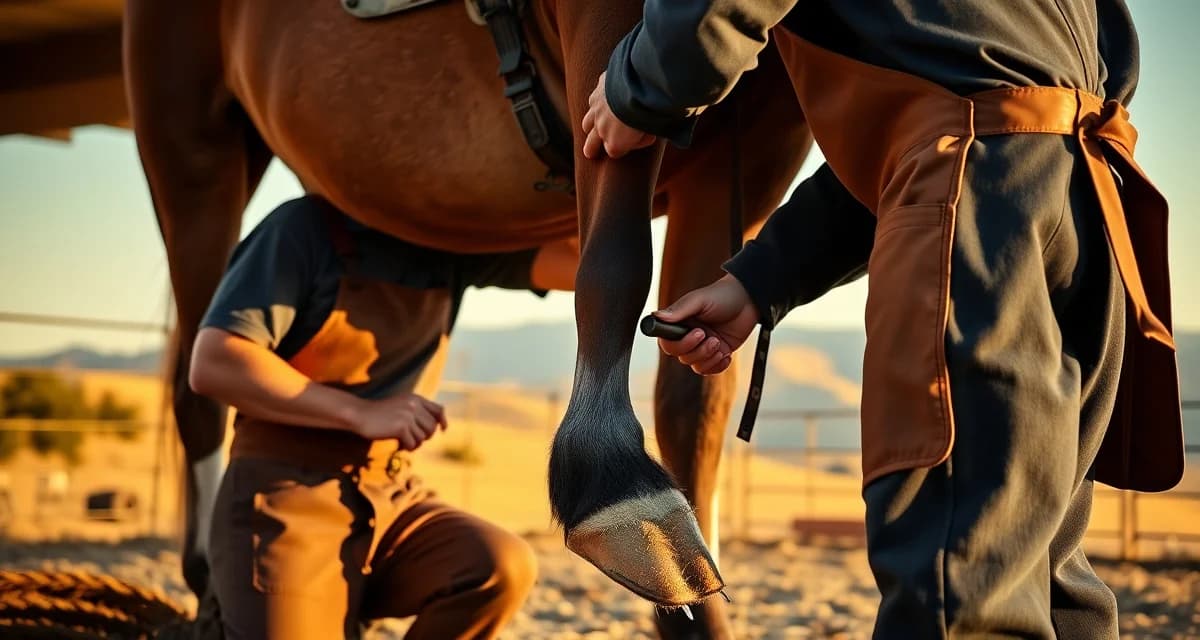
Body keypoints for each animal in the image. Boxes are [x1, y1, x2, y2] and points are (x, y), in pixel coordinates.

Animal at [124, 0, 811, 635]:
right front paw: (613, 484)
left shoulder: (752, 149)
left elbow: (694, 399)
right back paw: (210, 586)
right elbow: (614, 259)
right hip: (194, 155)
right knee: (198, 380)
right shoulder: (610, 57)